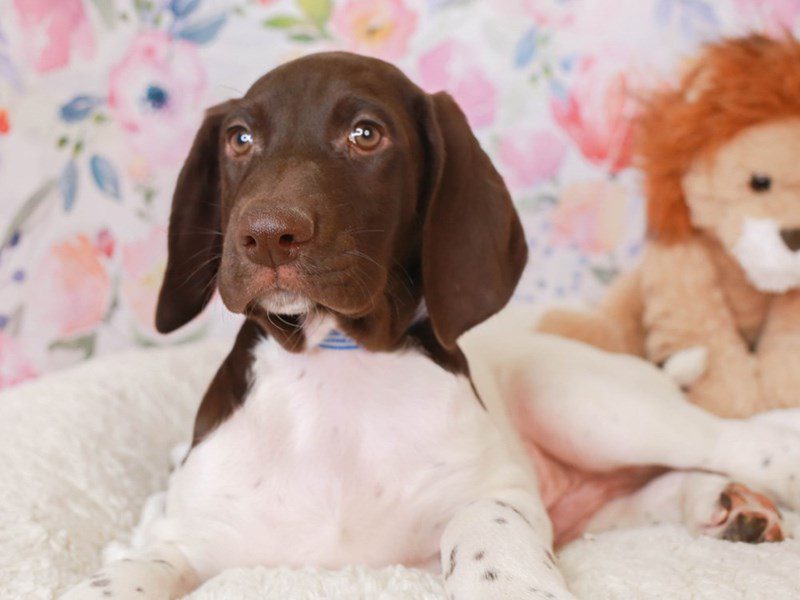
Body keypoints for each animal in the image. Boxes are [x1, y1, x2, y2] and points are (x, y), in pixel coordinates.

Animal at [64, 51, 800, 600]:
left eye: (366, 134)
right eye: (239, 139)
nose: (266, 235)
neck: (336, 360)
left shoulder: (492, 494)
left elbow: (487, 537)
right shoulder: (187, 537)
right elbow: (128, 570)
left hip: (578, 400)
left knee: (737, 439)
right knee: (649, 488)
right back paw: (720, 504)